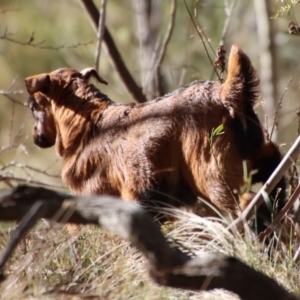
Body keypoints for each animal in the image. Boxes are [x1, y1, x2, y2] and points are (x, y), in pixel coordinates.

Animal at [24, 44, 284, 227]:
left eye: (33, 107)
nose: (36, 137)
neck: (88, 124)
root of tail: (224, 96)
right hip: (256, 153)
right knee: (275, 176)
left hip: (213, 174)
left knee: (245, 204)